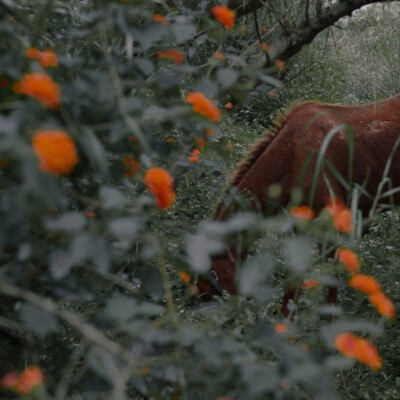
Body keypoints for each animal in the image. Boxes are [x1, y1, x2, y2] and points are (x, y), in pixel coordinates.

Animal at [198, 94, 400, 312]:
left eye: (208, 291)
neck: (293, 157)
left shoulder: (330, 228)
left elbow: (329, 289)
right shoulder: (296, 230)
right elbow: (291, 285)